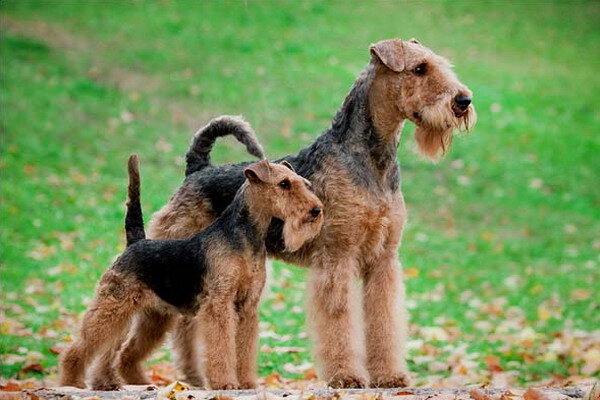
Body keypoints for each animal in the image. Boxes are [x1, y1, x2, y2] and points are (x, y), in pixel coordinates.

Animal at [58, 155, 324, 390]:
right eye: (283, 184)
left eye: (303, 183)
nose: (316, 210)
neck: (244, 236)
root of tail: (135, 242)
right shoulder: (219, 304)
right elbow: (221, 347)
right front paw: (224, 383)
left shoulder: (247, 306)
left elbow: (244, 350)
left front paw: (247, 383)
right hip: (113, 305)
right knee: (82, 347)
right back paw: (73, 381)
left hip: (149, 316)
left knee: (121, 351)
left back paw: (118, 383)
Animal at [117, 37, 476, 388]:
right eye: (419, 69)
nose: (464, 100)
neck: (371, 160)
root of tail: (197, 169)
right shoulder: (337, 257)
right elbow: (339, 321)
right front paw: (346, 376)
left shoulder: (383, 259)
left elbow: (383, 320)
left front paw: (389, 376)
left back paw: (194, 377)